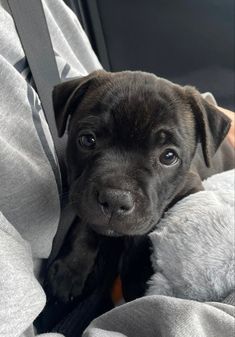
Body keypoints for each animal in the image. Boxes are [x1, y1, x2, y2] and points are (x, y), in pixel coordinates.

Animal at [47, 70, 233, 302]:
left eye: (168, 156)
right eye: (87, 140)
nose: (115, 199)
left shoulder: (190, 191)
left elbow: (148, 230)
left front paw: (137, 276)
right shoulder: (80, 192)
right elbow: (85, 223)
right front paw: (71, 268)